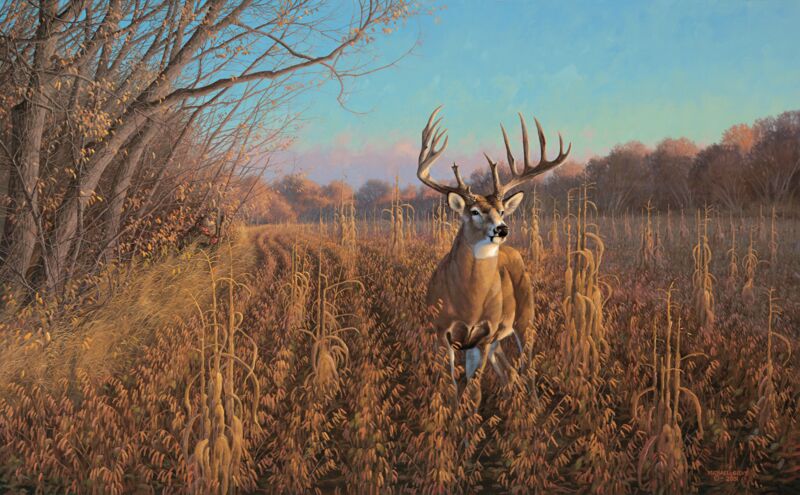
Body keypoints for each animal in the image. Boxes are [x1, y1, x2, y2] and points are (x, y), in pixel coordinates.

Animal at [418, 106, 571, 390]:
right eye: (474, 211)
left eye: (501, 210)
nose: (502, 229)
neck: (469, 303)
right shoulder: (440, 331)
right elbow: (452, 388)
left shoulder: (485, 335)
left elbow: (473, 391)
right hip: (499, 338)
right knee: (510, 373)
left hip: (525, 318)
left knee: (527, 369)